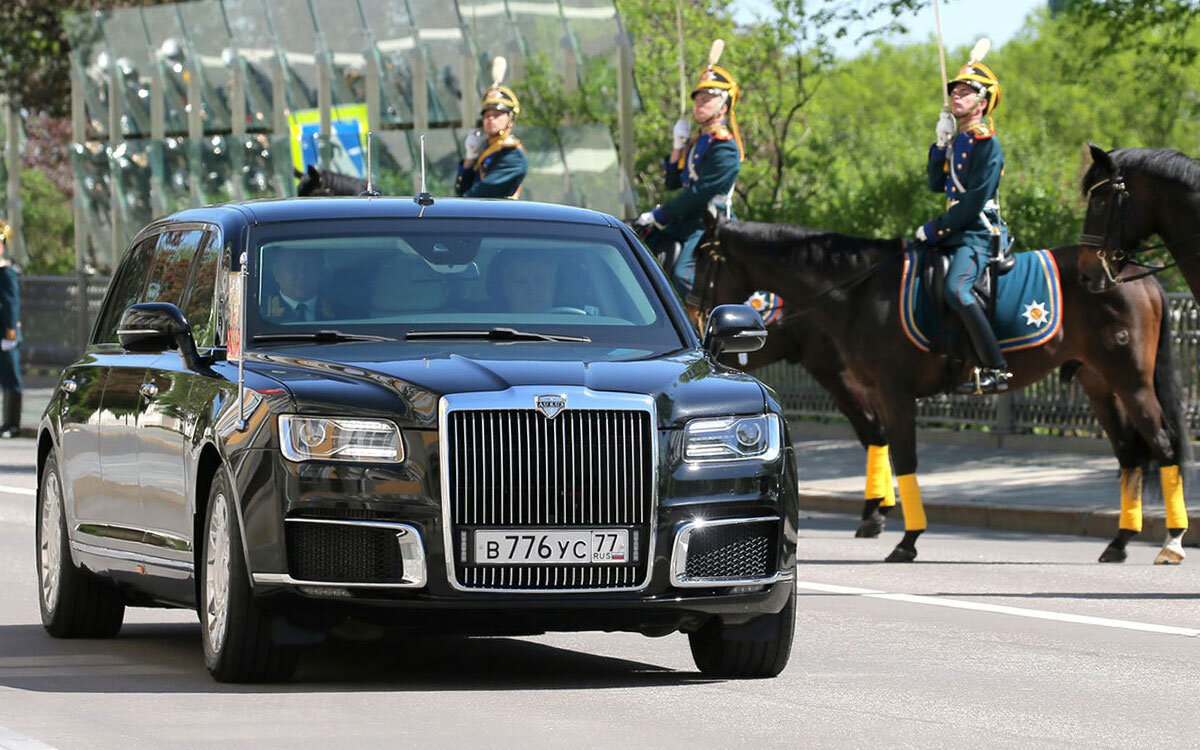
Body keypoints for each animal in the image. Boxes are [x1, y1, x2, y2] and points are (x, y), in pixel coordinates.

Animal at [696, 211, 1190, 561]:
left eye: (701, 257)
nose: (699, 315)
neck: (861, 290)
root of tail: (1138, 277)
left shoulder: (894, 393)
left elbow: (905, 458)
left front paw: (907, 539)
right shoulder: (874, 388)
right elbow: (890, 450)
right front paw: (894, 528)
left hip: (1130, 380)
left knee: (1162, 444)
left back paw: (1172, 540)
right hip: (1098, 383)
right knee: (1130, 454)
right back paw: (1120, 542)